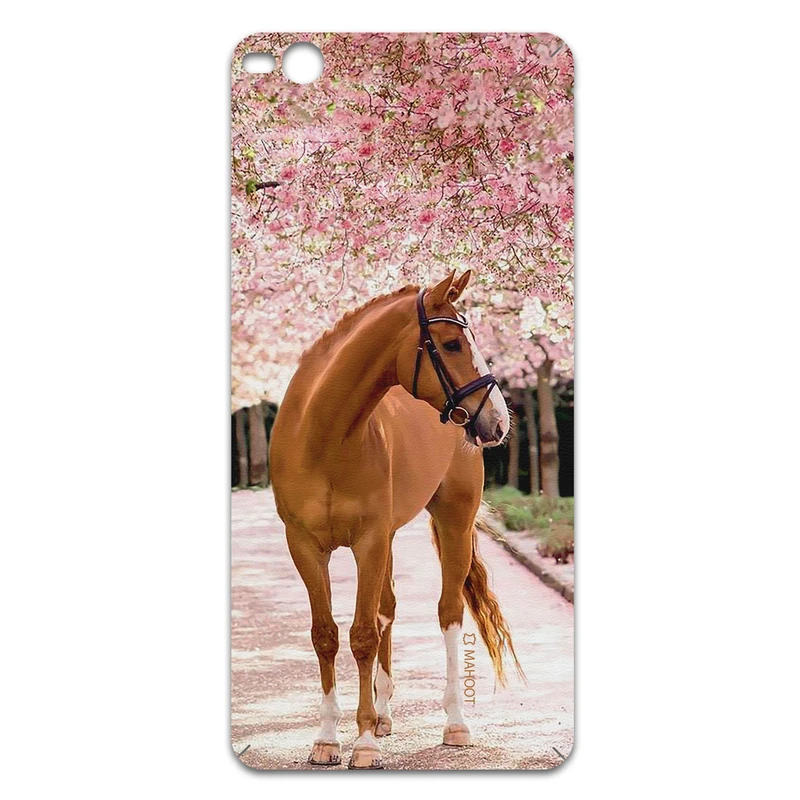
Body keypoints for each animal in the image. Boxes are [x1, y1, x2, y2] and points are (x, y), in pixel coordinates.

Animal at [269, 270, 521, 769]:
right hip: (387, 538)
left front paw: (363, 743)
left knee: (448, 612)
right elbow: (326, 635)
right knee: (387, 609)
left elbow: (363, 635)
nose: (499, 421)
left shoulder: (368, 541)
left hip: (453, 520)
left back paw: (454, 723)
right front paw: (327, 739)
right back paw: (384, 715)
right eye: (451, 344)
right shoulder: (305, 546)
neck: (323, 436)